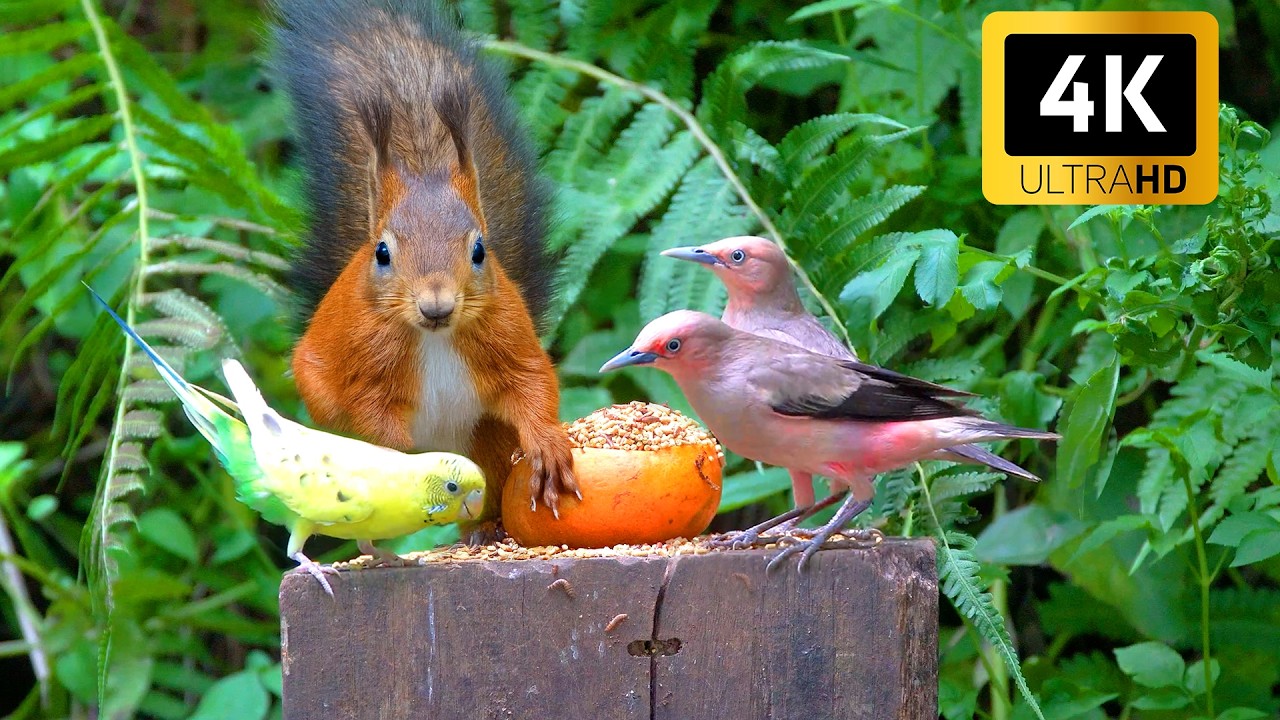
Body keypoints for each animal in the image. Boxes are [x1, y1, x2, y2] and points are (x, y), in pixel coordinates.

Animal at [270, 0, 577, 529]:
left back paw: (485, 527)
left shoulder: (509, 337)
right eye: (383, 253)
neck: (434, 339)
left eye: (480, 250)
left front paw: (548, 446)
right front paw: (403, 463)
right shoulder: (366, 367)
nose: (437, 306)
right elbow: (373, 418)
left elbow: (533, 384)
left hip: (488, 440)